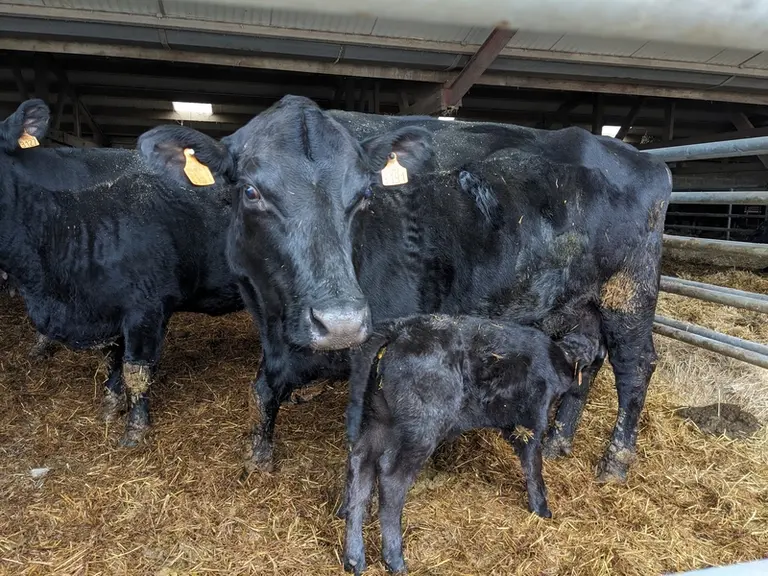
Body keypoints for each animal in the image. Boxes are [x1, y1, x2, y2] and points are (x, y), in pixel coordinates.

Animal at [137, 94, 672, 483]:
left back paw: (614, 463)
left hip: (629, 292)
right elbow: (263, 390)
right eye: (250, 191)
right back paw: (560, 442)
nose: (342, 321)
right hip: (579, 302)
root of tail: (644, 160)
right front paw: (258, 459)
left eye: (364, 194)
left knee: (635, 368)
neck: (274, 318)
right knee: (589, 356)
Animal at [340, 313, 602, 574]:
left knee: (360, 463)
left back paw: (354, 558)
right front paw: (541, 508)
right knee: (390, 478)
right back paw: (394, 559)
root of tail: (399, 329)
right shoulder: (530, 420)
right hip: (420, 430)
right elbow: (533, 465)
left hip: (379, 419)